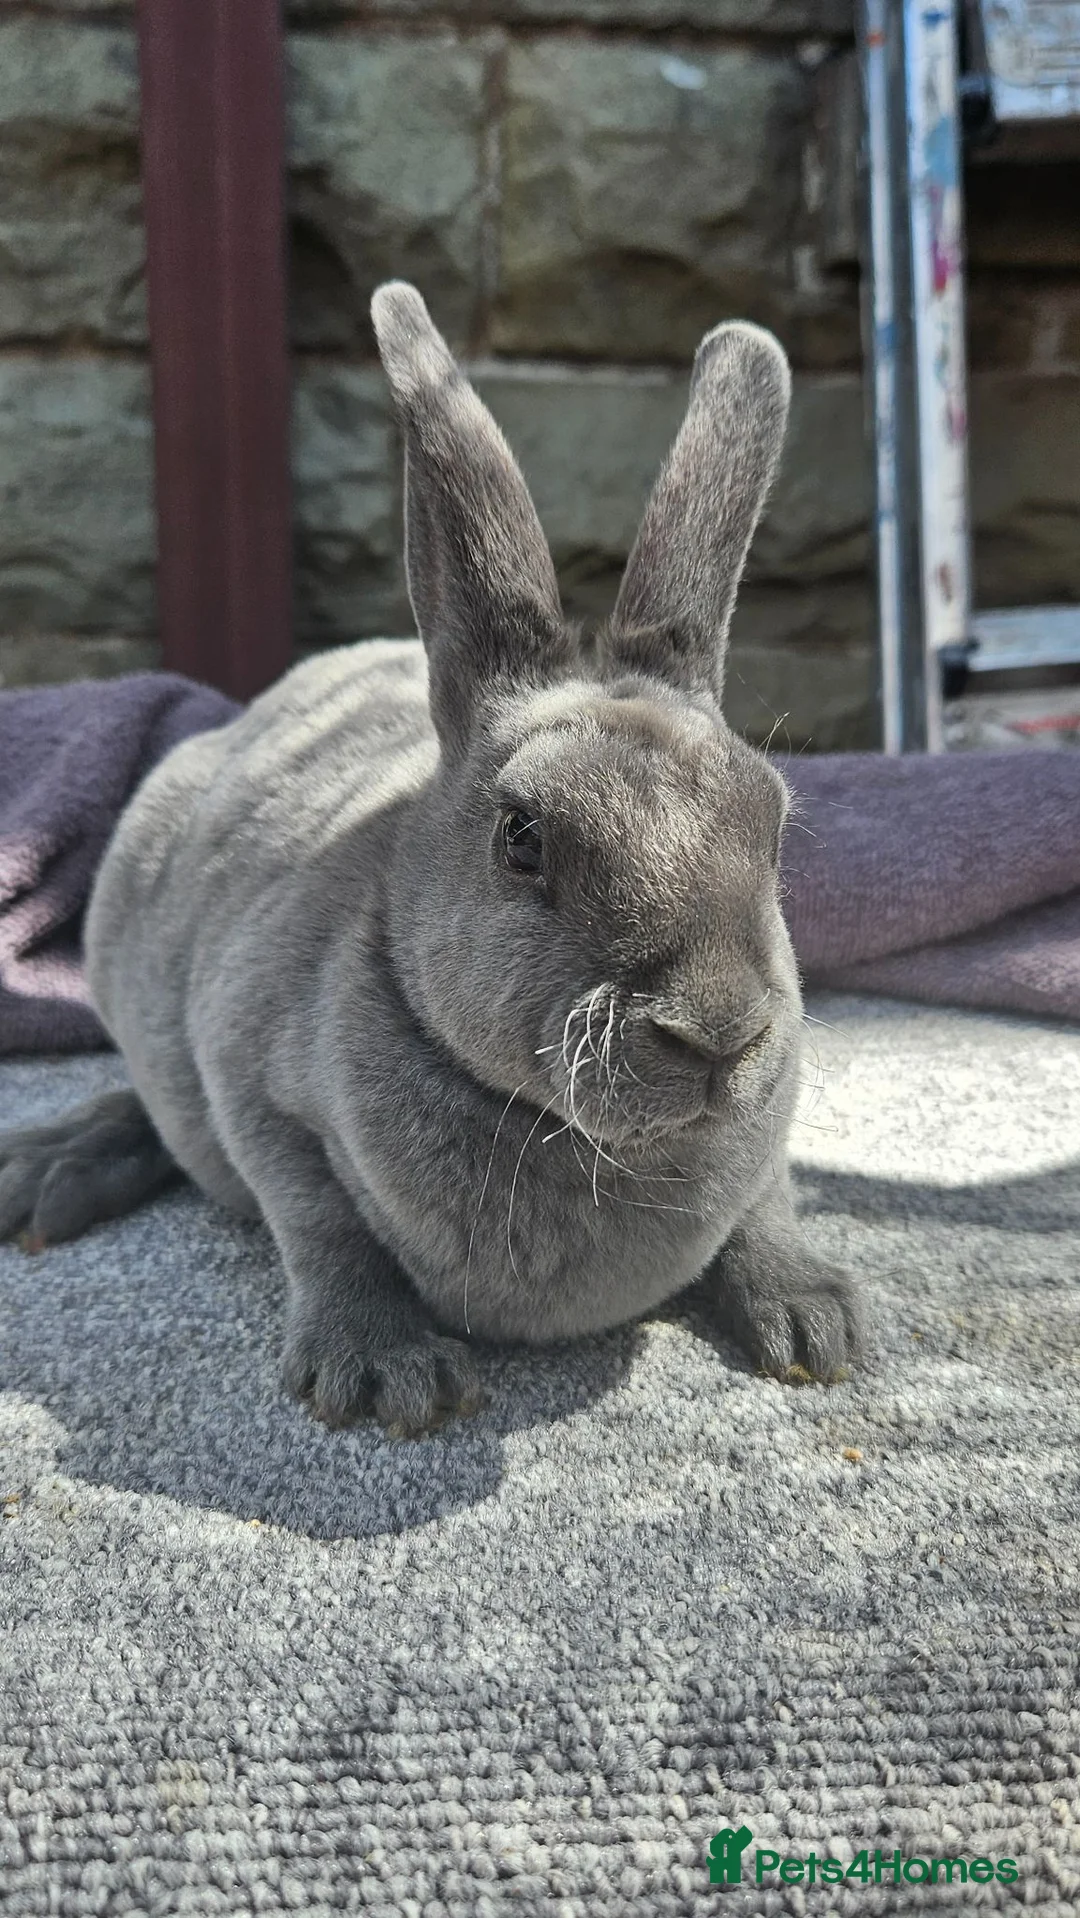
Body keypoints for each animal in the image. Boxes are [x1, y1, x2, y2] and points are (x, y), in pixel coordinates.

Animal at [0, 282, 863, 1436]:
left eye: (772, 824)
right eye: (522, 839)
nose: (720, 1033)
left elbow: (768, 1200)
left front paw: (814, 1322)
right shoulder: (251, 1088)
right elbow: (319, 1225)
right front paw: (383, 1372)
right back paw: (40, 1178)